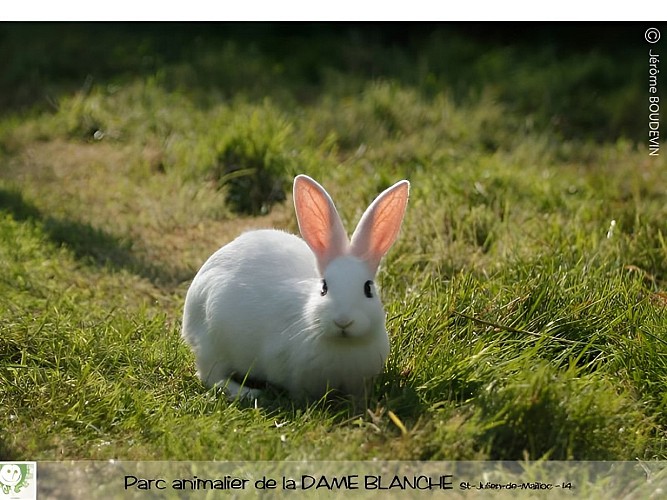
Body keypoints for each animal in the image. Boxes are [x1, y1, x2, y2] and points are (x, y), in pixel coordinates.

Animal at [181, 174, 410, 400]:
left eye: (368, 289)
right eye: (324, 288)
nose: (343, 321)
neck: (343, 345)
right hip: (211, 340)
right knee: (212, 376)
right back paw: (249, 393)